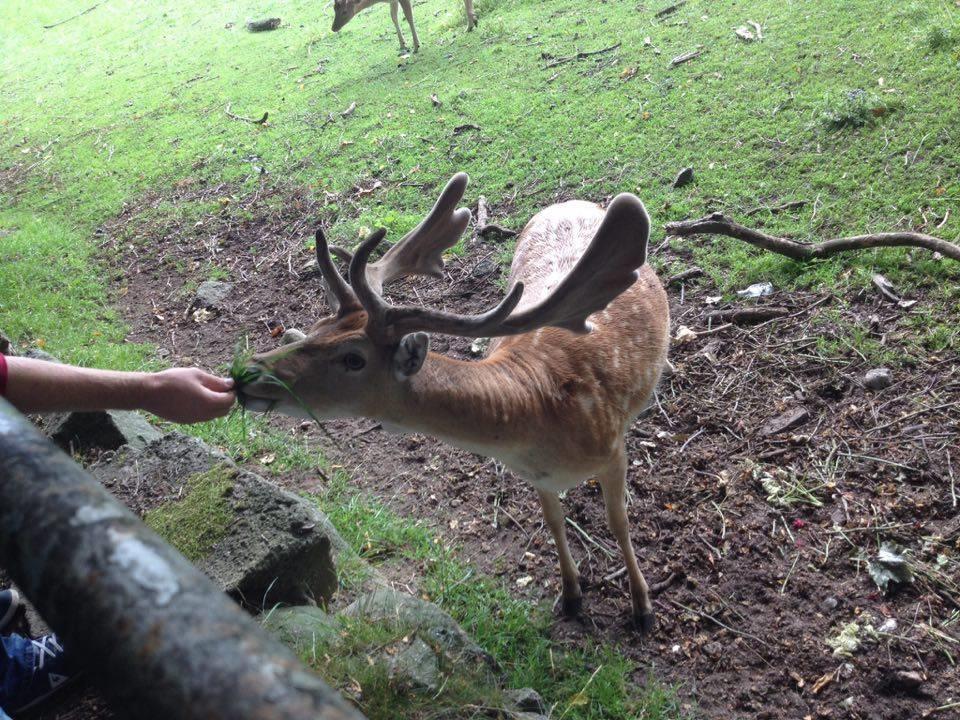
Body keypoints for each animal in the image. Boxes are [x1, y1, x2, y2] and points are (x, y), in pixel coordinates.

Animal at [244, 173, 672, 632]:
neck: (539, 418)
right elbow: (554, 520)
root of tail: (570, 201)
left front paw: (643, 608)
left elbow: (619, 521)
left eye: (353, 358)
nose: (248, 372)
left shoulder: (612, 448)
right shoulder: (536, 476)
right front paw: (572, 596)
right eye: (318, 325)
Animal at [332, 0, 478, 53]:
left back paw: (471, 23)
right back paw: (471, 23)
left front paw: (416, 46)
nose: (333, 28)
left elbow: (409, 16)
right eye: (334, 9)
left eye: (344, 11)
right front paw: (402, 45)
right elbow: (393, 17)